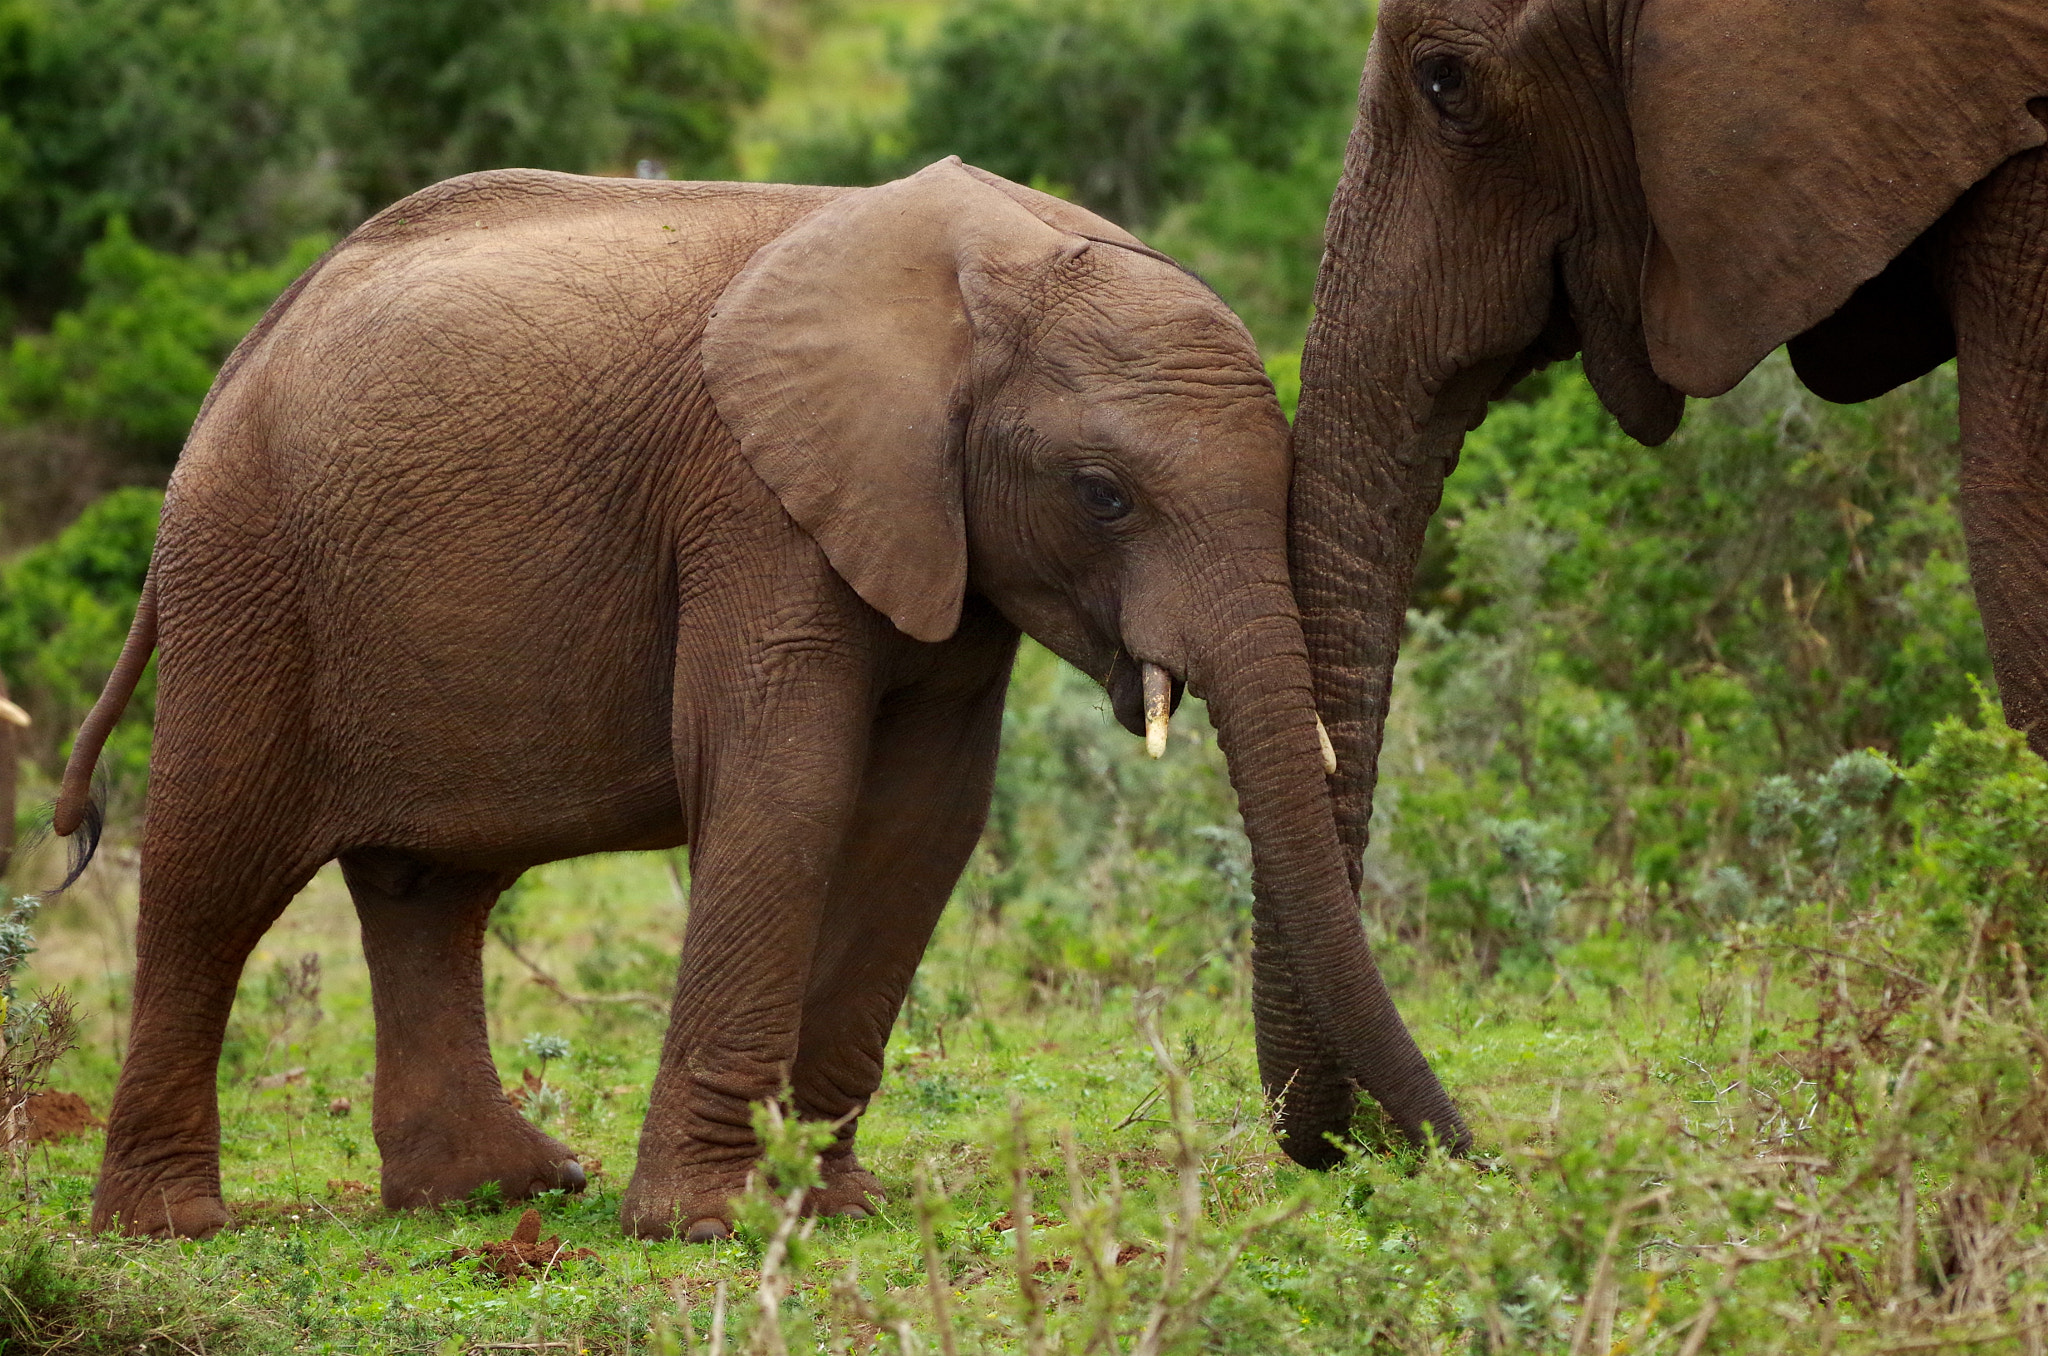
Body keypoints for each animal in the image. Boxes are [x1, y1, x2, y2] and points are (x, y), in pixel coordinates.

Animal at [56, 159, 1466, 1245]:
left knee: (429, 893)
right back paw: (169, 1226)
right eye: (1101, 494)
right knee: (212, 877)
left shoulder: (936, 535)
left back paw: (497, 1193)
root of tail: (244, 352)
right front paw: (709, 1224)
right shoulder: (753, 496)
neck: (988, 273)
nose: (1458, 1155)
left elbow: (923, 819)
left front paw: (830, 1202)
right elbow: (783, 784)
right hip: (247, 574)